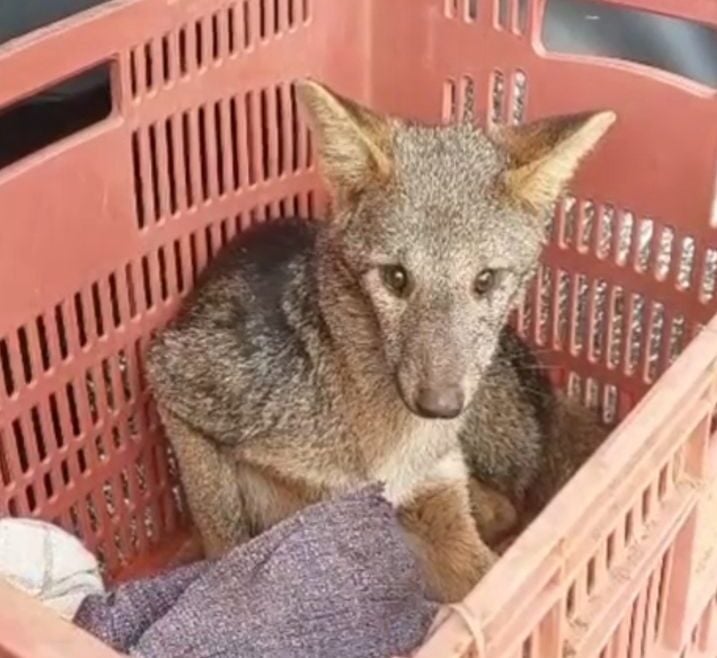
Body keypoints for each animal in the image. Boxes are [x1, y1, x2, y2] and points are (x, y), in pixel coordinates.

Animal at [146, 78, 614, 603]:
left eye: (485, 281)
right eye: (396, 278)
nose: (440, 405)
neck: (384, 445)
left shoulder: (433, 490)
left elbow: (489, 585)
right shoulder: (176, 381)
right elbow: (222, 537)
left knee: (505, 506)